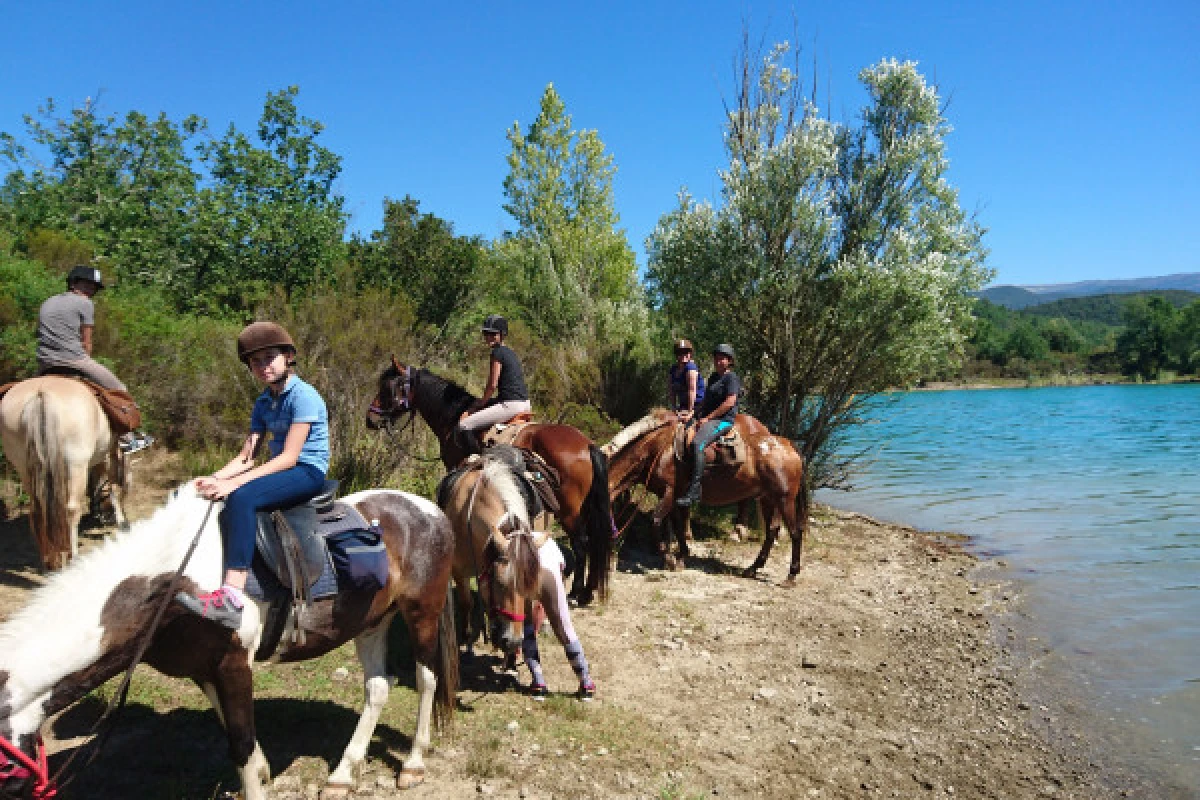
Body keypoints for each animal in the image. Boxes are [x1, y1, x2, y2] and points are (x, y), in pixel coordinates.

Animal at [0, 376, 128, 570]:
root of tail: (40, 393)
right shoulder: (108, 455)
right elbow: (113, 486)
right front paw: (121, 522)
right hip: (76, 465)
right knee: (72, 510)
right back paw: (73, 558)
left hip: (24, 468)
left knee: (38, 511)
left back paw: (49, 561)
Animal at [0, 483, 458, 800]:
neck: (174, 585)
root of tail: (430, 510)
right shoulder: (204, 670)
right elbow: (237, 736)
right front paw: (263, 773)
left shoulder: (234, 664)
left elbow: (239, 743)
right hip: (370, 622)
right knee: (378, 687)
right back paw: (342, 775)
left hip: (422, 613)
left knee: (426, 680)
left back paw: (413, 764)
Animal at [368, 358, 613, 606]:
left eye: (387, 388)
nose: (370, 419)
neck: (453, 419)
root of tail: (587, 445)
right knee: (594, 542)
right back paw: (588, 592)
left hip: (569, 510)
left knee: (581, 543)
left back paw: (575, 593)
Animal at [437, 451, 597, 699]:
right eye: (500, 583)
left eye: (527, 587)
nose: (512, 641)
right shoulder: (459, 571)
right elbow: (466, 603)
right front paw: (466, 644)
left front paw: (511, 663)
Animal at [603, 409, 810, 586]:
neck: (658, 447)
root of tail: (789, 445)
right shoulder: (676, 497)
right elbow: (677, 525)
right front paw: (681, 555)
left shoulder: (669, 492)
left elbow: (655, 522)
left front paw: (669, 559)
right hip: (767, 499)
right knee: (771, 531)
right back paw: (752, 568)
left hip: (784, 499)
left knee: (795, 532)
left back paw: (791, 576)